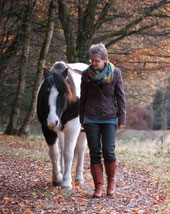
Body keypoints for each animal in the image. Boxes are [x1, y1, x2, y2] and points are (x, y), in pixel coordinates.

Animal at [36, 61, 88, 190]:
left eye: (63, 93)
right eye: (45, 92)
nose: (52, 121)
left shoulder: (73, 128)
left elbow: (68, 154)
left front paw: (66, 183)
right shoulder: (47, 129)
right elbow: (54, 154)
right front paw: (57, 179)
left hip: (83, 131)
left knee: (80, 150)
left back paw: (79, 178)